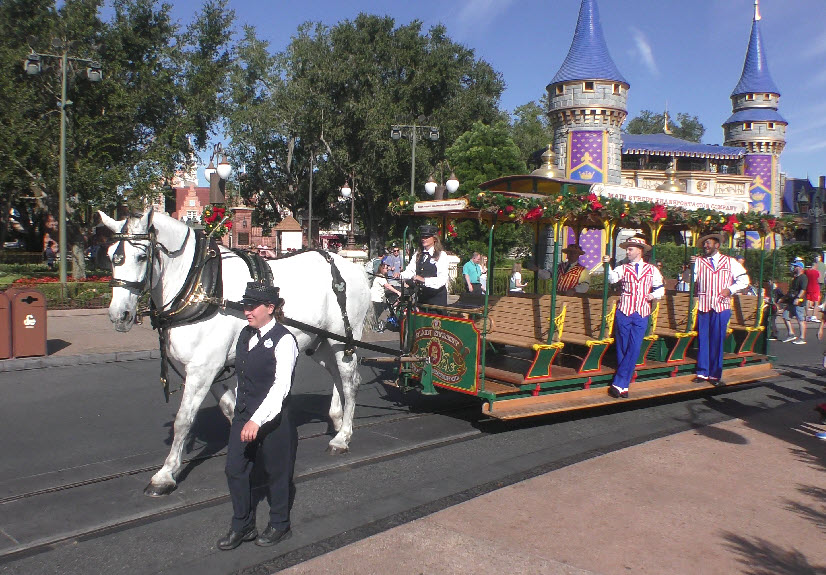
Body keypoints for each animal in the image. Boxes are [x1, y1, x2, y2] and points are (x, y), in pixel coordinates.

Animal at [101, 209, 372, 498]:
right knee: (338, 376)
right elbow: (231, 410)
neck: (202, 288)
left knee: (350, 381)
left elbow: (183, 420)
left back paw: (343, 437)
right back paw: (338, 421)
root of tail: (354, 267)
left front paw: (165, 475)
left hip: (344, 339)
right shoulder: (212, 370)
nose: (119, 315)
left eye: (142, 256)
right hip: (321, 342)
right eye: (109, 255)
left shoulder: (203, 368)